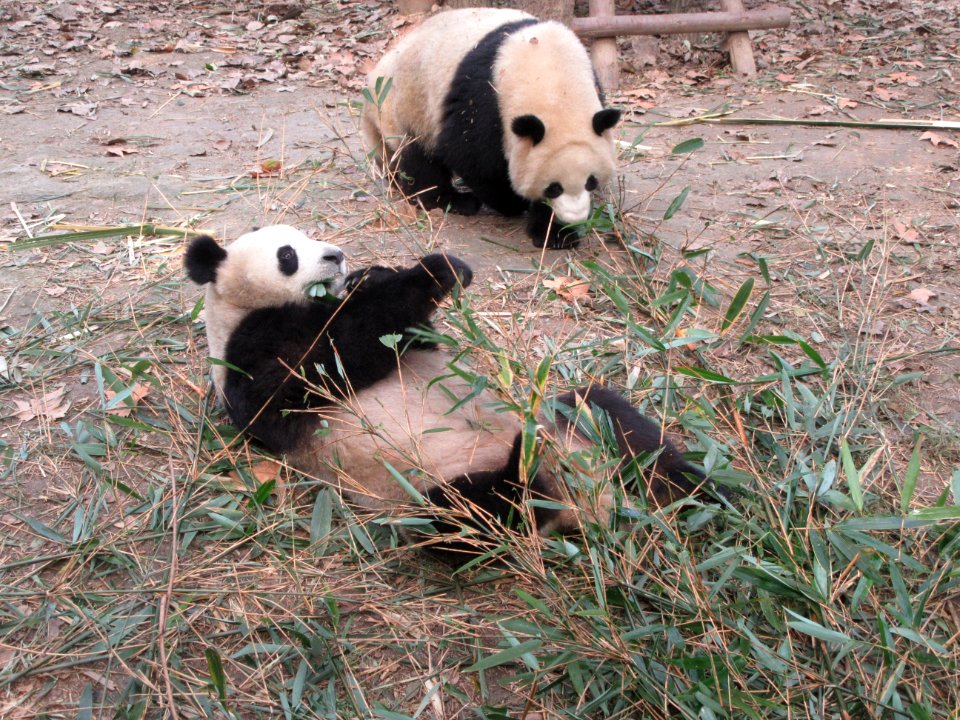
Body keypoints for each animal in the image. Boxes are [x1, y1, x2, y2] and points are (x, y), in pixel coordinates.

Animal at [188, 225, 716, 556]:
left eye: (307, 236)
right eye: (287, 254)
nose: (335, 256)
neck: (239, 308)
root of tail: (595, 502)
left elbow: (410, 335)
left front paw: (377, 275)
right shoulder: (249, 354)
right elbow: (323, 365)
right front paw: (430, 272)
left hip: (572, 421)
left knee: (616, 421)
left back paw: (705, 496)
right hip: (431, 489)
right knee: (473, 519)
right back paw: (526, 467)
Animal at [362, 7, 624, 250]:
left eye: (591, 182)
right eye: (554, 188)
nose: (574, 217)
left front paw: (556, 234)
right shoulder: (485, 98)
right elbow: (471, 157)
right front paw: (514, 203)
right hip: (407, 105)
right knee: (419, 159)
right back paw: (453, 200)